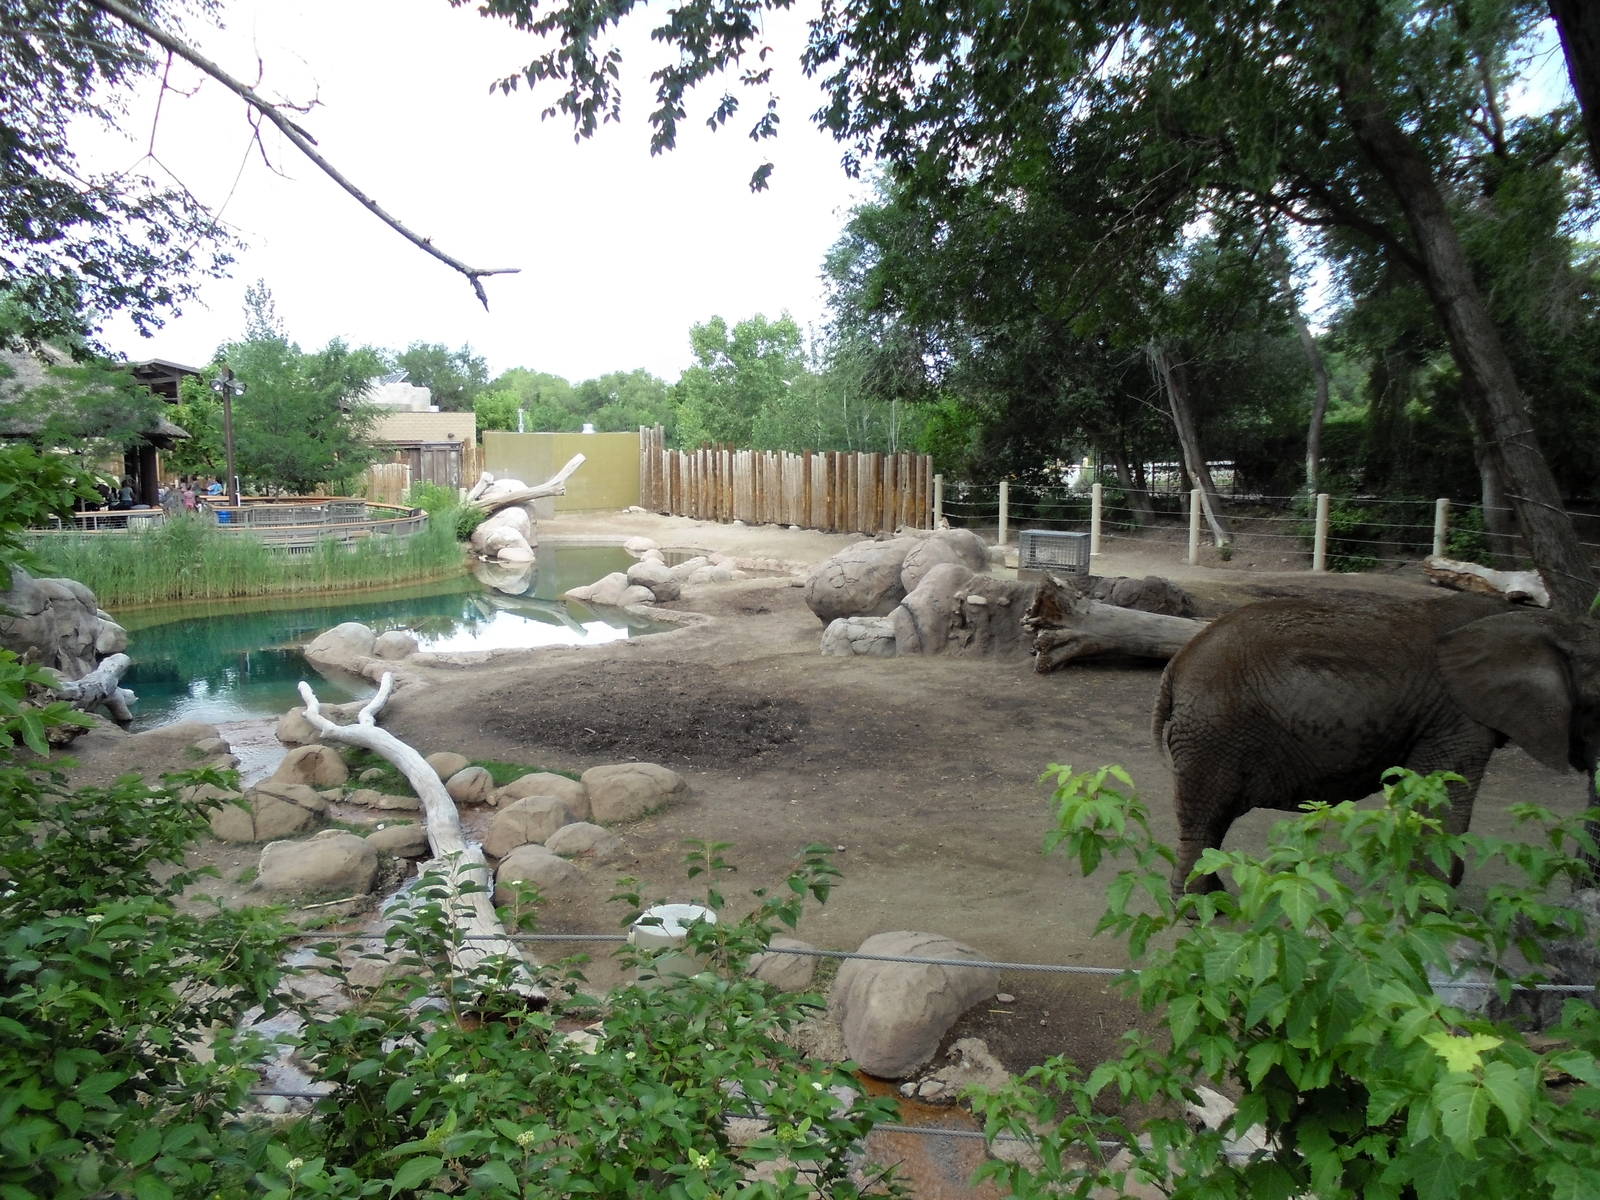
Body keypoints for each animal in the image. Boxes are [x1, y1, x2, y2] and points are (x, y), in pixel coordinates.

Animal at [1152, 592, 1600, 896]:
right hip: (1216, 731)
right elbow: (1443, 798)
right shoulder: (1456, 716)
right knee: (1207, 814)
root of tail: (1176, 666)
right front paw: (1438, 903)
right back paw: (1201, 909)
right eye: (1597, 701)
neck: (1530, 619)